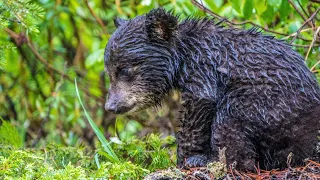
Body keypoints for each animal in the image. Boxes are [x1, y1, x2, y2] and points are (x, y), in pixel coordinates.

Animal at [104, 7, 320, 170]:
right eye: (109, 72)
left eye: (124, 70)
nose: (111, 106)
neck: (183, 56)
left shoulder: (203, 70)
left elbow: (200, 107)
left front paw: (187, 158)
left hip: (270, 108)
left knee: (228, 122)